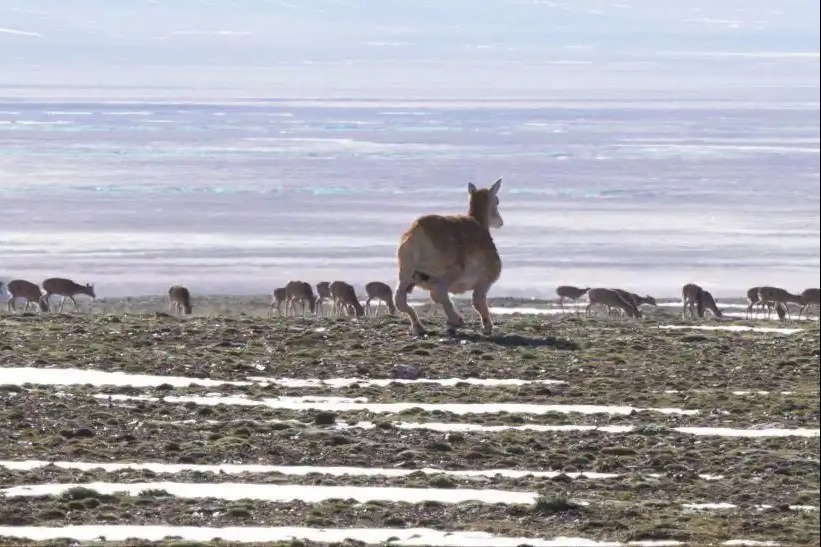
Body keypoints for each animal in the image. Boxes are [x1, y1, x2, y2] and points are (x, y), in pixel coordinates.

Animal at [394, 177, 503, 336]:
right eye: (496, 201)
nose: (500, 222)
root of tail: (418, 230)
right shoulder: (484, 281)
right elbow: (477, 301)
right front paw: (487, 327)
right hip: (451, 272)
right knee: (438, 292)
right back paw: (456, 320)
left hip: (406, 276)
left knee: (400, 300)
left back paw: (419, 327)